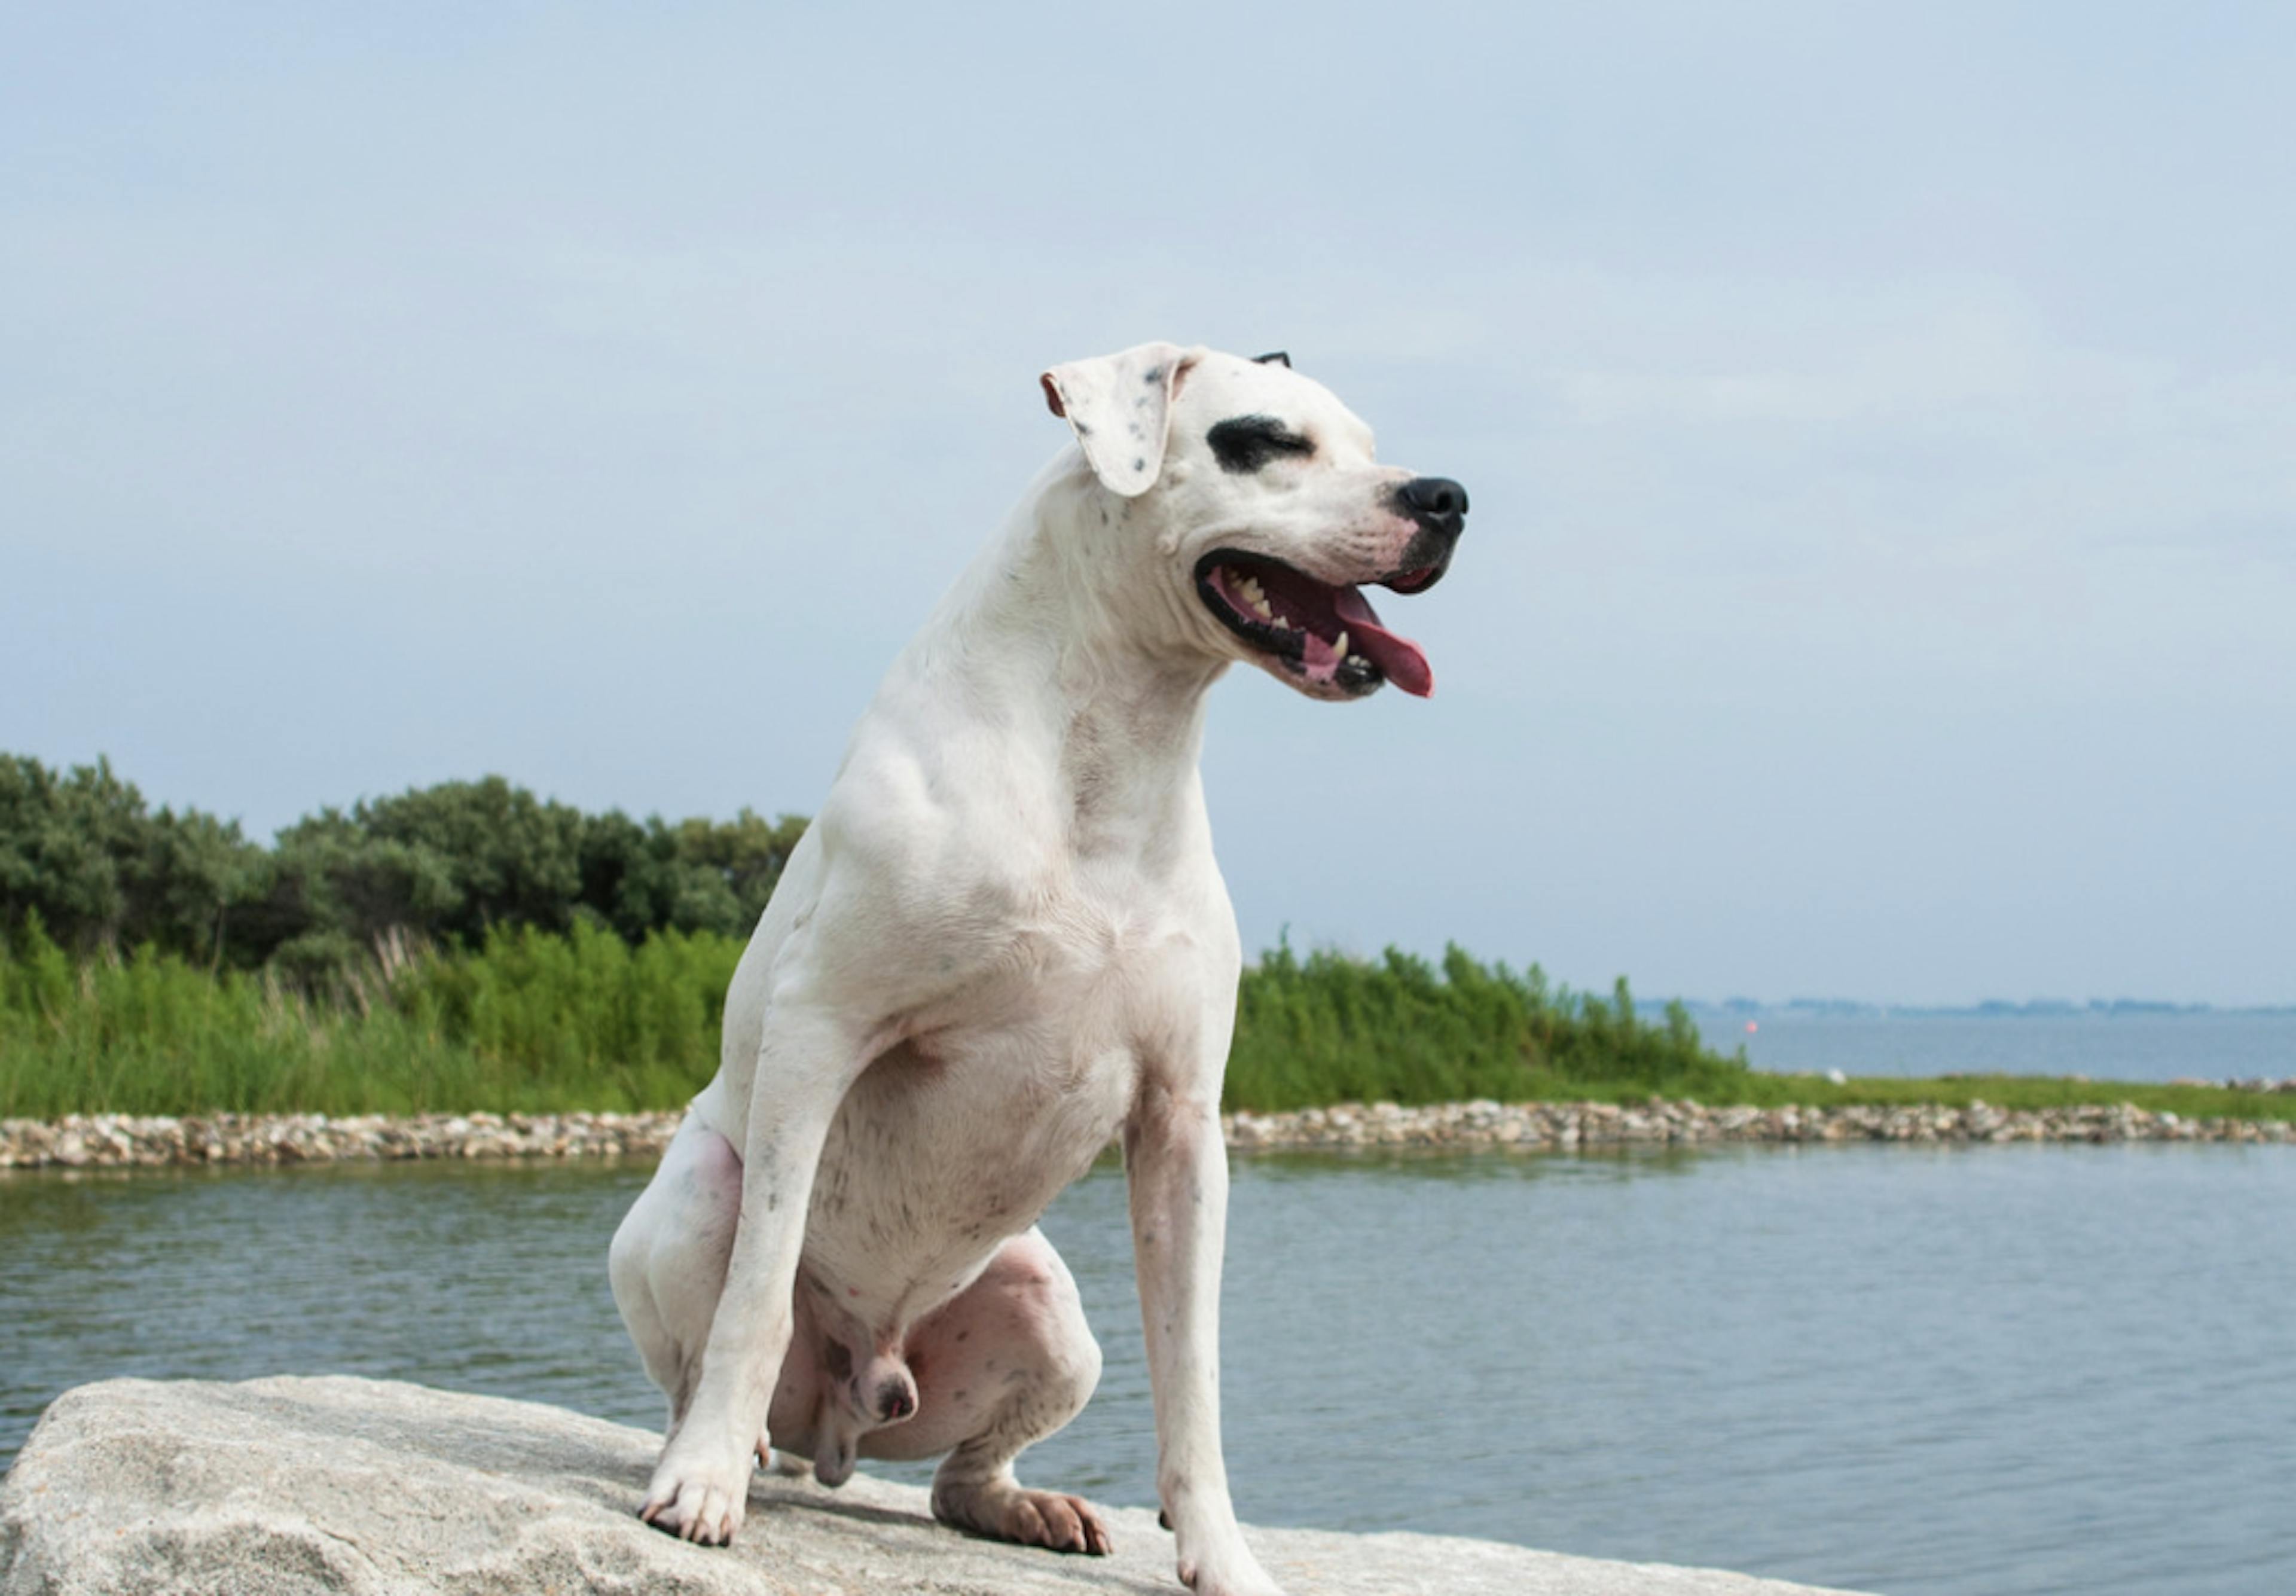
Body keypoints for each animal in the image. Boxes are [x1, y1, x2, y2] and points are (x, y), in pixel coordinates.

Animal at [610, 340, 1469, 1596]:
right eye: (1263, 441)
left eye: (1368, 440)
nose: (1444, 498)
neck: (1107, 741)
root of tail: (846, 1412)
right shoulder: (822, 1032)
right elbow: (754, 1296)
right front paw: (707, 1483)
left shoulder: (1182, 1124)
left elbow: (1194, 1375)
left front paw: (1222, 1555)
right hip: (689, 1203)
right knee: (706, 1350)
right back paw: (722, 1449)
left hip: (1052, 1311)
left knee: (961, 1472)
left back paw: (1027, 1504)